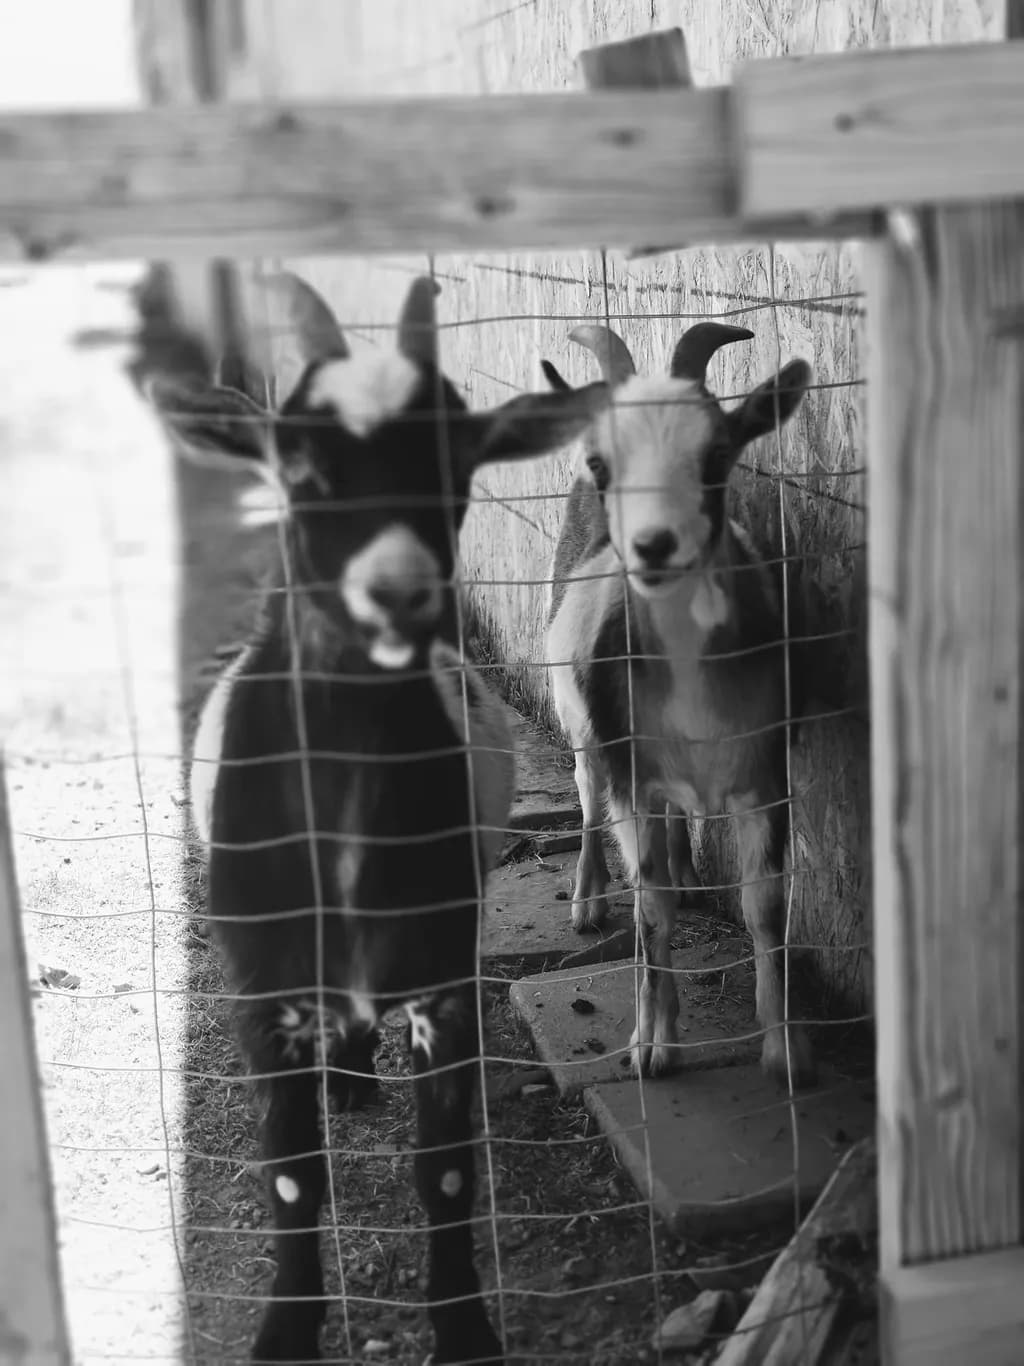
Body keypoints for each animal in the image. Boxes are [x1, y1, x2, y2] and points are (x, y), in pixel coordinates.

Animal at [148, 274, 607, 1365]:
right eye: (297, 465)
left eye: (458, 460)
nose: (397, 591)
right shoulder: (260, 991)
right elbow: (290, 1176)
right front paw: (284, 1330)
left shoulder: (444, 977)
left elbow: (443, 1173)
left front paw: (465, 1327)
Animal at [541, 321, 815, 1087]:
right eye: (603, 463)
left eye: (717, 454)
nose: (652, 546)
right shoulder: (631, 773)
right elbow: (650, 908)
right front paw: (651, 1042)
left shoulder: (764, 774)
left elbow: (764, 905)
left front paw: (783, 1048)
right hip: (579, 719)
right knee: (586, 795)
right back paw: (587, 899)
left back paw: (688, 873)